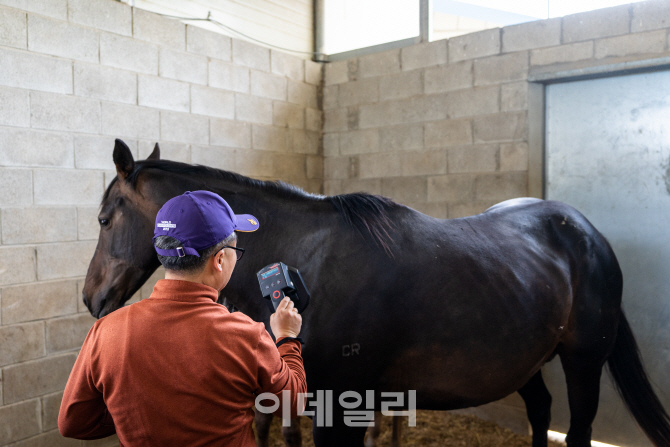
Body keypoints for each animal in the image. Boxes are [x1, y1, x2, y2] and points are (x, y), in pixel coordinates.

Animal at [82, 138, 670, 446]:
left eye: (106, 218)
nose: (91, 298)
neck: (303, 255)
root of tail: (589, 234)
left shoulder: (341, 402)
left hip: (583, 361)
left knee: (578, 426)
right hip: (525, 359)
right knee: (543, 410)